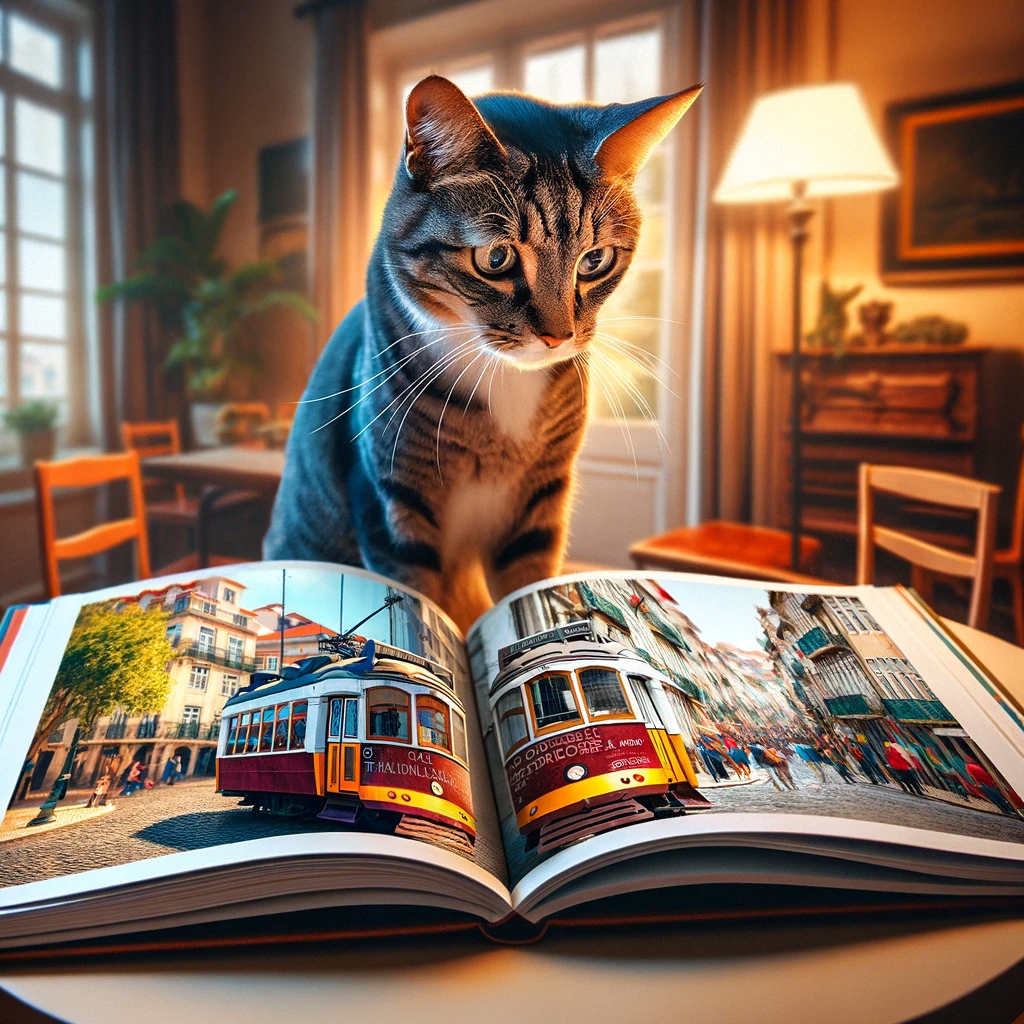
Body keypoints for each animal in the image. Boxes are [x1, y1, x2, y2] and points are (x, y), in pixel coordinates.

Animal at [260, 75, 700, 626]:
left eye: (595, 260)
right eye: (496, 258)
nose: (557, 336)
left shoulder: (540, 499)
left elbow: (530, 584)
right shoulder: (391, 499)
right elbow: (413, 597)